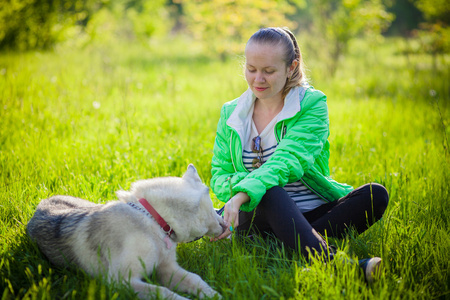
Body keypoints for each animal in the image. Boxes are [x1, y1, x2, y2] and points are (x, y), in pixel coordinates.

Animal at [27, 165, 225, 298]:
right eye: (213, 208)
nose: (225, 223)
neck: (154, 220)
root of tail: (44, 201)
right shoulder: (122, 280)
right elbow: (163, 292)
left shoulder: (167, 269)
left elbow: (195, 279)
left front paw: (215, 296)